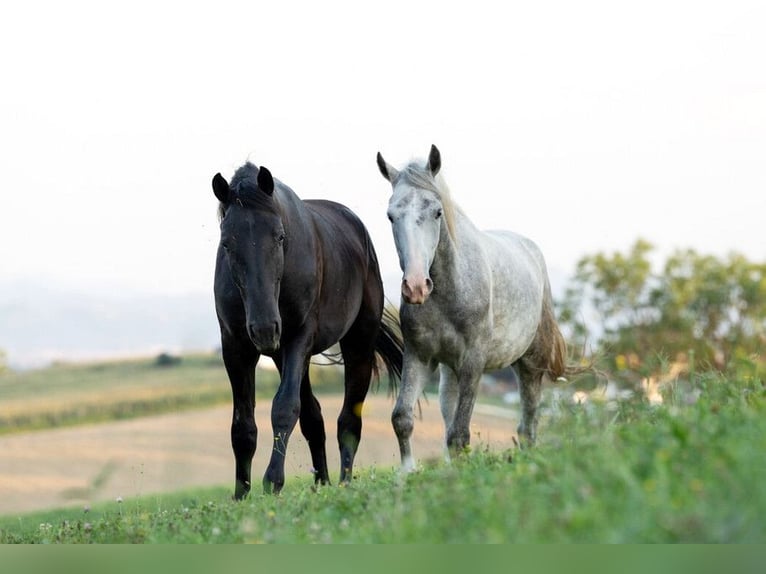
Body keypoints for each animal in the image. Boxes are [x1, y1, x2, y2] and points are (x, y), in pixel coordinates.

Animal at [210, 162, 402, 500]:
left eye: (280, 237)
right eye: (227, 243)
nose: (264, 328)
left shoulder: (299, 337)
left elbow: (285, 408)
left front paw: (273, 480)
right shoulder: (236, 348)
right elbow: (243, 425)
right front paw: (240, 494)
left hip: (358, 342)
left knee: (349, 419)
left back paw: (344, 482)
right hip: (283, 355)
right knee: (314, 417)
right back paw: (322, 481)